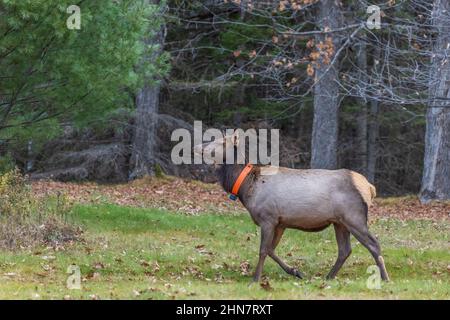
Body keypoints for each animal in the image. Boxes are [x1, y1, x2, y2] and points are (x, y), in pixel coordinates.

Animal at [194, 130, 390, 282]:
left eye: (221, 141)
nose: (197, 147)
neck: (246, 189)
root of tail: (369, 188)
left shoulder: (268, 217)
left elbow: (263, 250)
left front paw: (255, 279)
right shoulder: (281, 223)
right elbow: (271, 249)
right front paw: (295, 271)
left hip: (354, 216)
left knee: (374, 244)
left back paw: (385, 278)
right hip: (339, 222)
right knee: (345, 250)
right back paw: (329, 276)